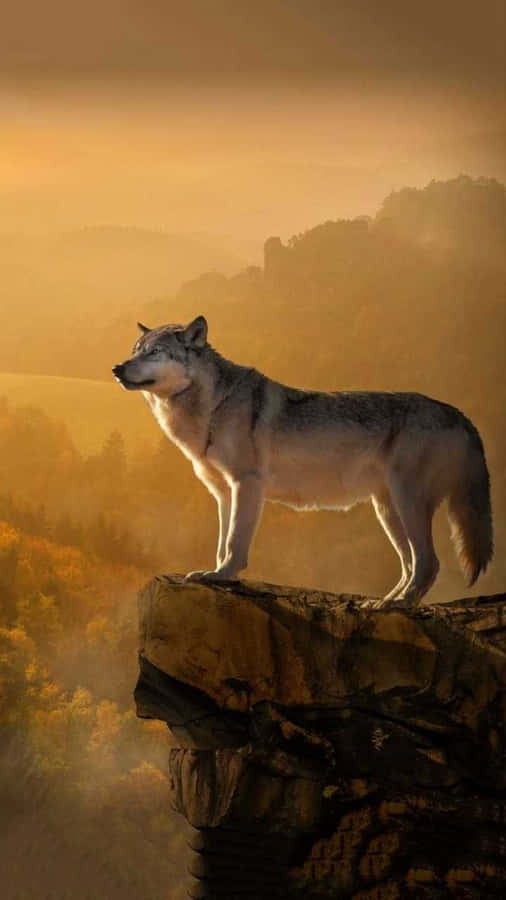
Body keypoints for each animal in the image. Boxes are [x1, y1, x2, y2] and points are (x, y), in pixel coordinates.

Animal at [112, 315, 493, 606]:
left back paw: (397, 606)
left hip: (407, 503)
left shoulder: (247, 484)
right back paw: (384, 603)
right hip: (387, 510)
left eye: (155, 352)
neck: (212, 407)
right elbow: (221, 543)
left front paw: (223, 575)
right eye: (135, 351)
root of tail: (460, 414)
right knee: (410, 564)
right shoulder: (223, 493)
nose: (117, 368)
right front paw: (215, 573)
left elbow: (235, 542)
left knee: (428, 563)